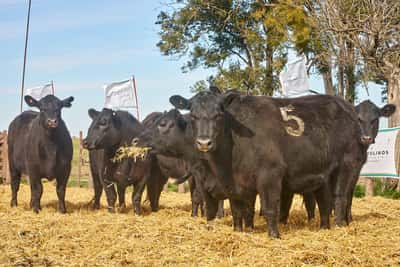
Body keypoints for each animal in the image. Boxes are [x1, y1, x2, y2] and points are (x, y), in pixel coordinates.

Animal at [170, 88, 364, 239]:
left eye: (218, 115)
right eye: (193, 116)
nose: (204, 142)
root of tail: (345, 105)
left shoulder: (270, 174)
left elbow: (270, 207)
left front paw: (274, 236)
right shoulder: (235, 185)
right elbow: (237, 210)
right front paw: (238, 231)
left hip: (347, 164)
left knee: (340, 197)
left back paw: (339, 226)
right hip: (322, 174)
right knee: (324, 202)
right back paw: (324, 228)